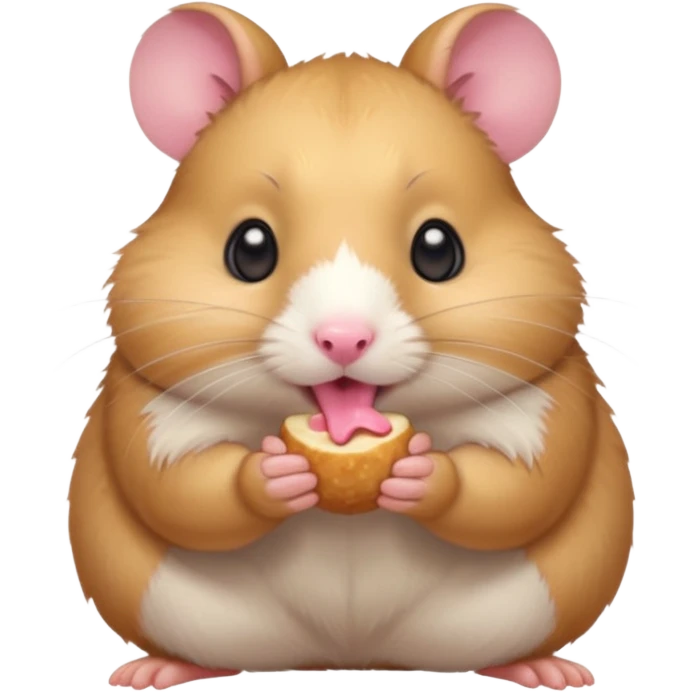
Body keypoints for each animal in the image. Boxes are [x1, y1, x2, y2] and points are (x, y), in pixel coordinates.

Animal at [67, 1, 636, 689]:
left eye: (439, 248)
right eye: (248, 248)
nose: (343, 338)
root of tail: (348, 656)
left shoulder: (552, 399)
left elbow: (523, 487)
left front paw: (423, 473)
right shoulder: (144, 406)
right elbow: (178, 489)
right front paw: (272, 474)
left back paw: (545, 667)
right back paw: (157, 668)